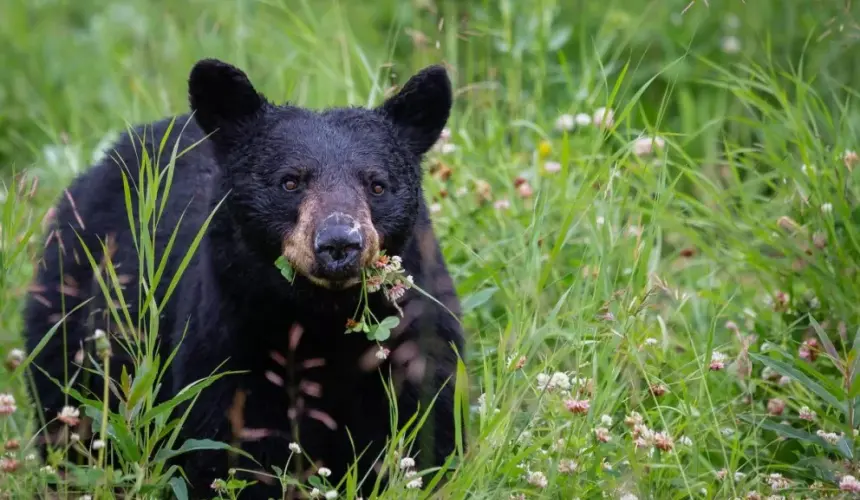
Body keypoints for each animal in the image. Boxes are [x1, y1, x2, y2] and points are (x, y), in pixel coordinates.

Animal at [21, 57, 464, 496]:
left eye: (377, 185)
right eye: (290, 181)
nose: (340, 242)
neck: (323, 319)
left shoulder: (416, 338)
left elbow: (429, 430)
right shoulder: (228, 343)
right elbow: (230, 449)